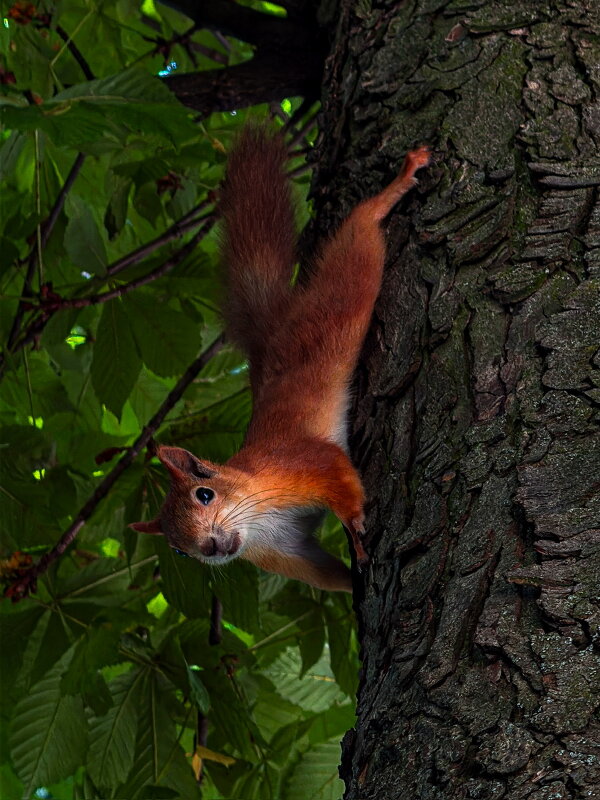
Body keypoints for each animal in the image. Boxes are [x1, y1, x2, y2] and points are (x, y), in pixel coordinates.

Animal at [130, 126, 429, 592]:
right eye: (177, 549)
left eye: (204, 494)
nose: (210, 548)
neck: (256, 513)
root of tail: (271, 333)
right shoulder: (286, 553)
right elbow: (327, 574)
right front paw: (351, 586)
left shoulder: (298, 463)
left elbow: (337, 474)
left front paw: (356, 528)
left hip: (341, 295)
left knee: (359, 233)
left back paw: (395, 185)